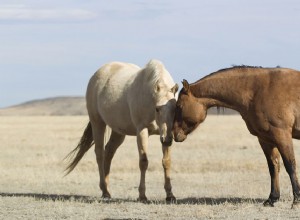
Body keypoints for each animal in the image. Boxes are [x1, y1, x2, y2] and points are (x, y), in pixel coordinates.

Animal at [65, 59, 178, 202]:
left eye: (175, 108)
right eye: (157, 109)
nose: (167, 140)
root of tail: (97, 74)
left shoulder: (164, 134)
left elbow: (166, 162)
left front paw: (170, 195)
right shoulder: (142, 131)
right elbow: (143, 162)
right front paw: (142, 195)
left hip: (118, 132)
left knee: (108, 152)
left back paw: (107, 189)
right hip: (97, 123)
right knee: (100, 153)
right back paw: (104, 190)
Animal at [172, 66, 300, 207]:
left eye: (179, 106)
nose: (175, 133)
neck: (258, 90)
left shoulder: (282, 135)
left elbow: (290, 166)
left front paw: (296, 200)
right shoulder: (265, 139)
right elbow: (273, 167)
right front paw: (272, 198)